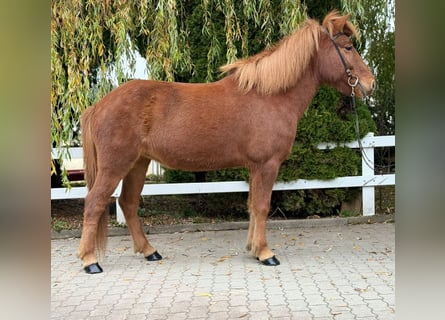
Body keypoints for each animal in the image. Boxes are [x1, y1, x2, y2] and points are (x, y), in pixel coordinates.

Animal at [77, 11, 374, 272]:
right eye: (348, 47)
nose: (370, 84)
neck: (270, 96)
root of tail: (99, 105)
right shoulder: (267, 165)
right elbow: (262, 206)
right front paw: (266, 253)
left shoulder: (255, 167)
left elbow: (253, 206)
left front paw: (253, 249)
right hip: (116, 165)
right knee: (94, 203)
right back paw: (90, 261)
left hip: (138, 164)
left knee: (128, 204)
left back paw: (150, 251)